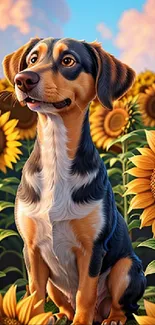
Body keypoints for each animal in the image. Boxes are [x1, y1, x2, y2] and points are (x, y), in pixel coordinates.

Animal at [2, 36, 147, 322]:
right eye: (33, 58)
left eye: (68, 60)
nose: (23, 79)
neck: (56, 155)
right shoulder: (31, 249)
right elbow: (34, 295)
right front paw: (34, 318)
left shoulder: (92, 249)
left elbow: (85, 294)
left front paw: (82, 322)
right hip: (54, 284)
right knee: (62, 302)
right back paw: (58, 316)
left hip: (127, 266)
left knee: (121, 305)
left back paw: (112, 318)